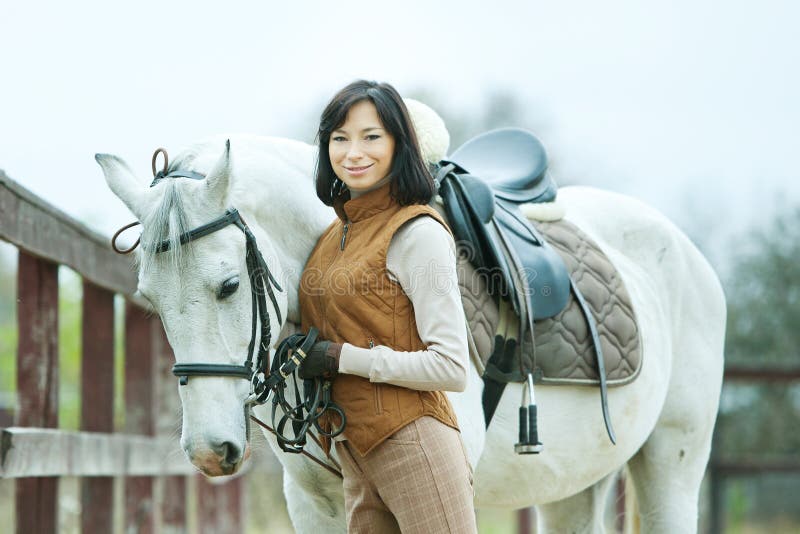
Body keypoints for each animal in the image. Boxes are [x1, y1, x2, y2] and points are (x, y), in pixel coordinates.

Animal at [98, 124, 724, 534]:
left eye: (229, 285)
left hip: (672, 467)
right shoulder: (314, 504)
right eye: (151, 301)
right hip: (573, 485)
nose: (210, 451)